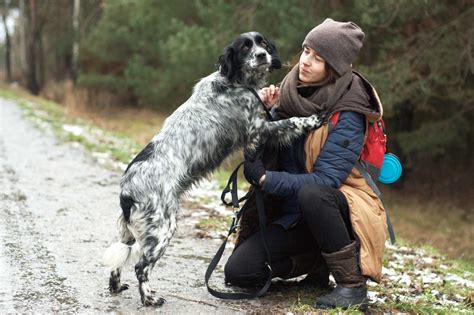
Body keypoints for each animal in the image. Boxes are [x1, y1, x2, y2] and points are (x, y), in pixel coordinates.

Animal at [103, 31, 324, 306]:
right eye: (245, 48)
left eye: (262, 43)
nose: (262, 56)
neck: (236, 82)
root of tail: (127, 190)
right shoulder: (257, 131)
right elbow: (291, 122)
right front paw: (313, 119)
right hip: (163, 227)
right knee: (140, 266)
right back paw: (149, 299)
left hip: (128, 232)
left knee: (117, 261)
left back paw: (116, 286)